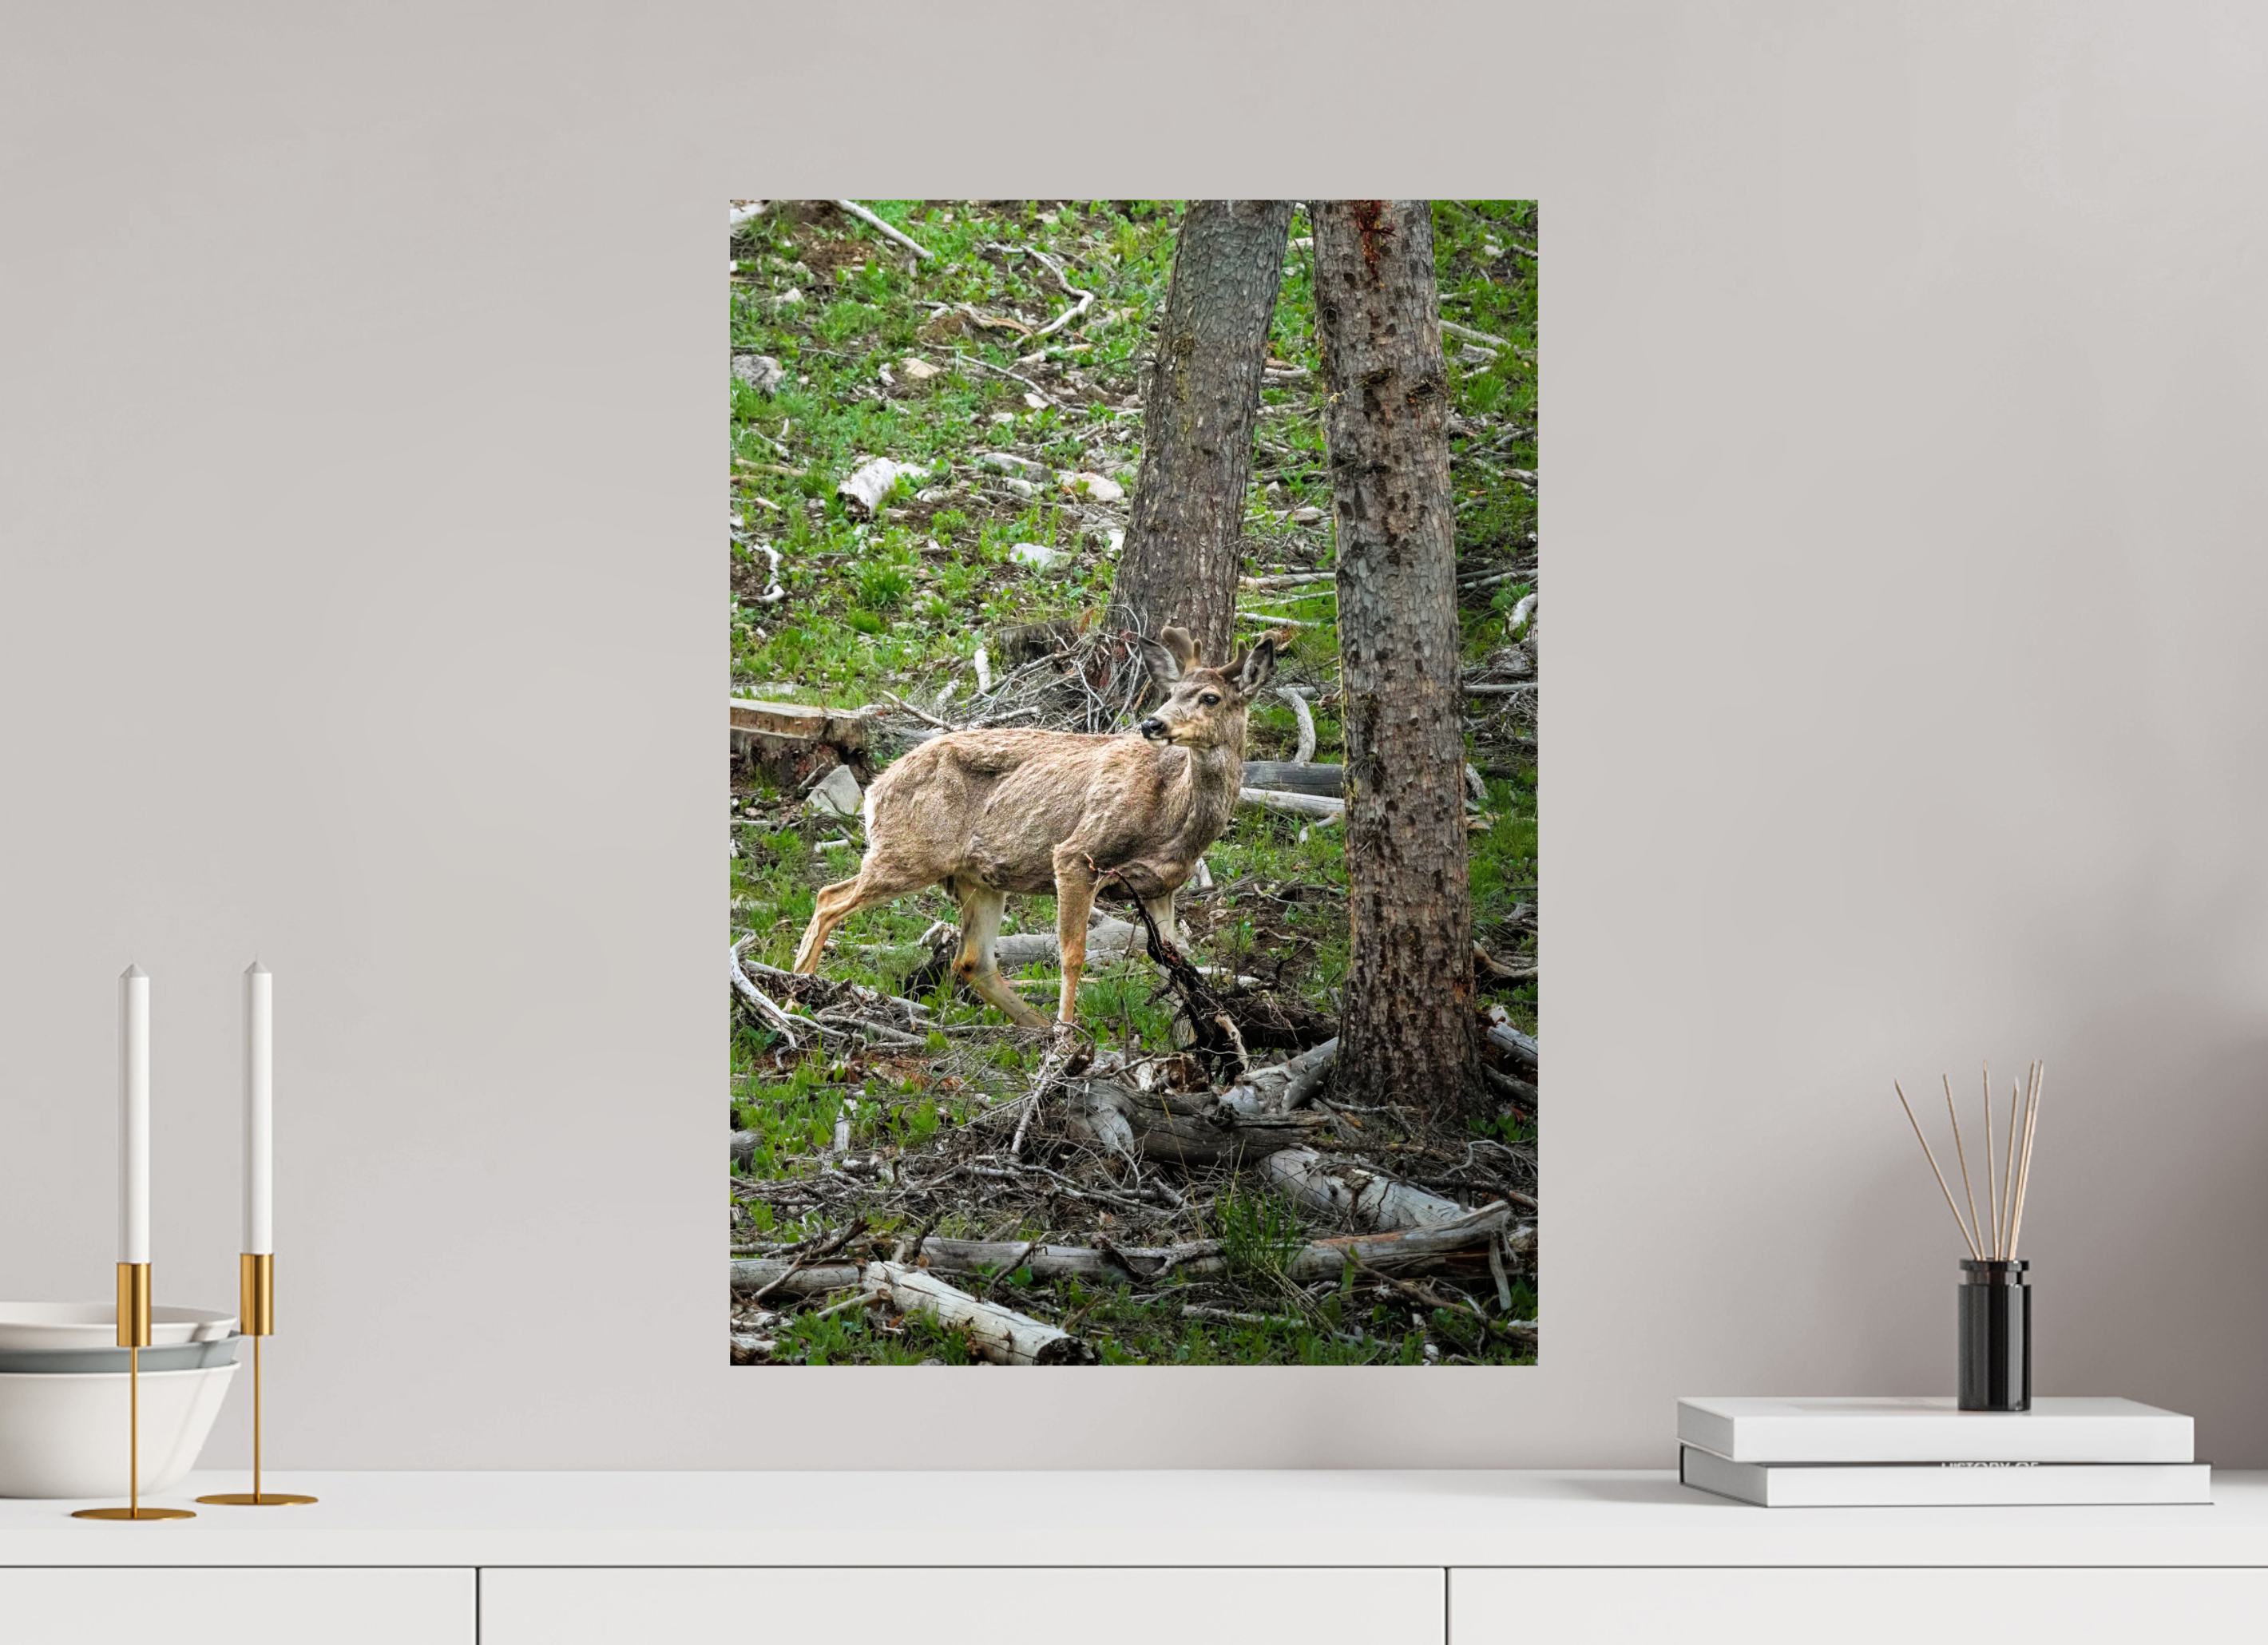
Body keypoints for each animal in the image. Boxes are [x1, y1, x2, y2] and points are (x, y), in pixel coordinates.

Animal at [792, 627, 1276, 1030]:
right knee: (828, 898)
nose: (1152, 723)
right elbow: (1072, 954)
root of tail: (876, 788)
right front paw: (1067, 1034)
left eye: (1211, 697)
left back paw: (1035, 1028)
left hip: (976, 879)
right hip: (911, 852)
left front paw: (1201, 1036)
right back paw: (797, 994)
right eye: (1172, 692)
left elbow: (1176, 965)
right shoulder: (1078, 855)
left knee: (972, 960)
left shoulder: (1162, 886)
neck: (1174, 819)